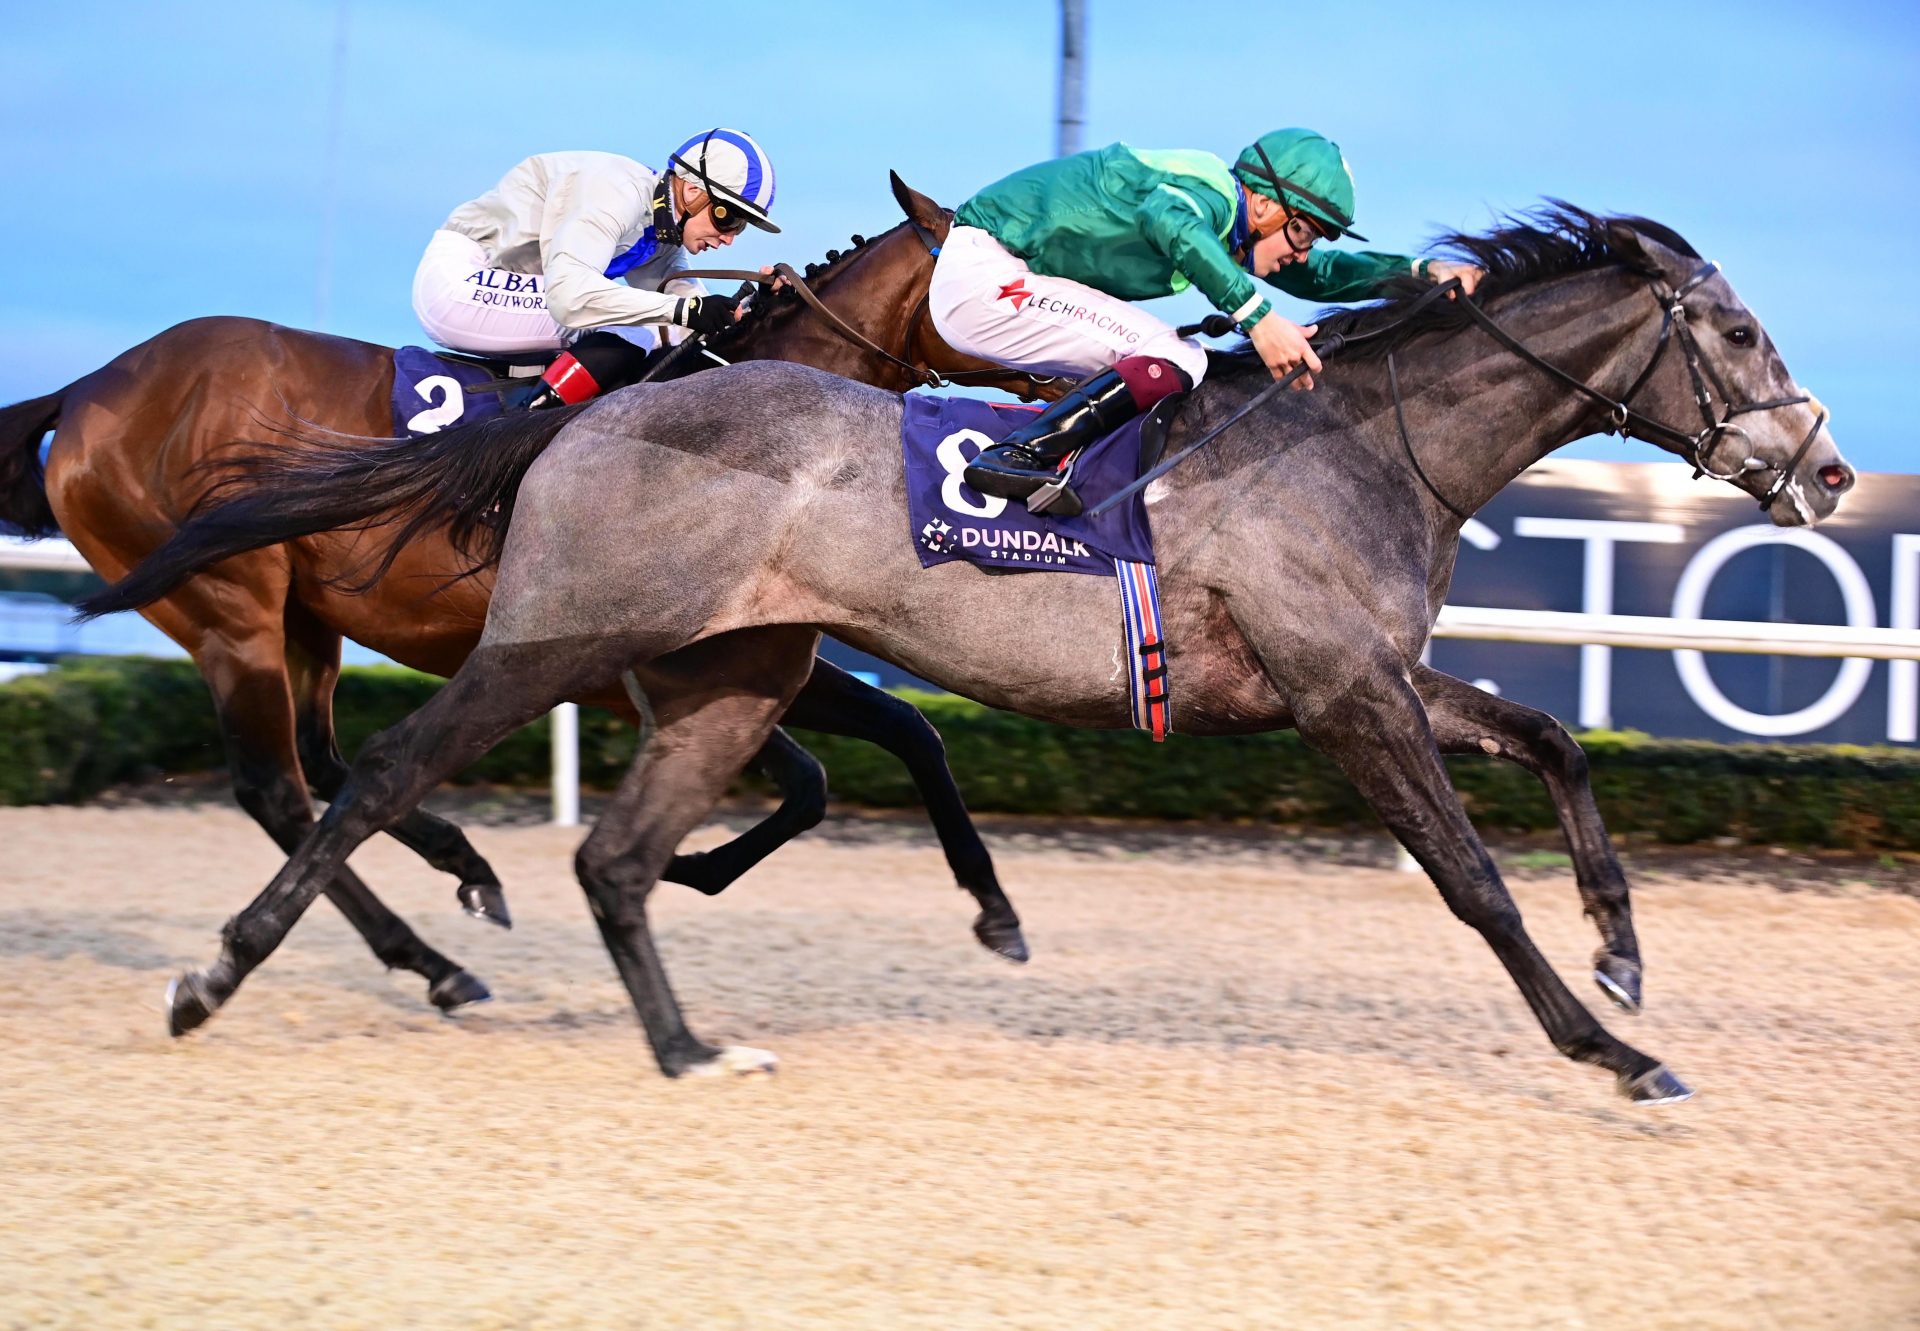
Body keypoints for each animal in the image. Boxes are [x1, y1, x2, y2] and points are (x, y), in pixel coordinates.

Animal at [0, 173, 1044, 1006]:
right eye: (1014, 276)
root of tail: (93, 386)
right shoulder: (624, 662)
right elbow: (860, 754)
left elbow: (863, 756)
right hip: (230, 611)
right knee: (276, 789)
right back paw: (423, 955)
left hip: (305, 619)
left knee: (322, 764)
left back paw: (460, 882)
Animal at [93, 207, 1858, 1098]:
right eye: (1741, 333)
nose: (1832, 471)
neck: (1368, 436)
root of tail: (592, 408)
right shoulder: (1341, 694)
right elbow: (1471, 881)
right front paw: (1614, 1045)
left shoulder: (1370, 670)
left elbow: (1554, 742)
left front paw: (1624, 951)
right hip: (553, 638)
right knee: (376, 775)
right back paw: (235, 973)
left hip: (734, 672)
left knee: (615, 852)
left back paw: (689, 1044)